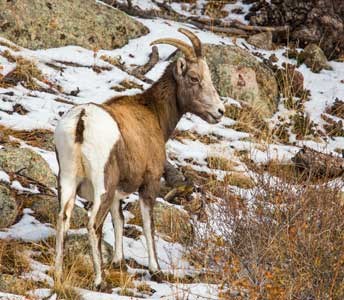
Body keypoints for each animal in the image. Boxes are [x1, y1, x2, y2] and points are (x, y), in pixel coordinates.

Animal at [53, 28, 224, 288]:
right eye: (194, 78)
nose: (219, 112)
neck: (153, 114)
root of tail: (82, 120)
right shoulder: (149, 183)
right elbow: (147, 223)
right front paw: (156, 270)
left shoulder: (117, 192)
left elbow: (119, 220)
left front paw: (119, 262)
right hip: (102, 186)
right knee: (93, 223)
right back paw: (99, 281)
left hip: (67, 181)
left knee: (63, 219)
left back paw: (58, 275)